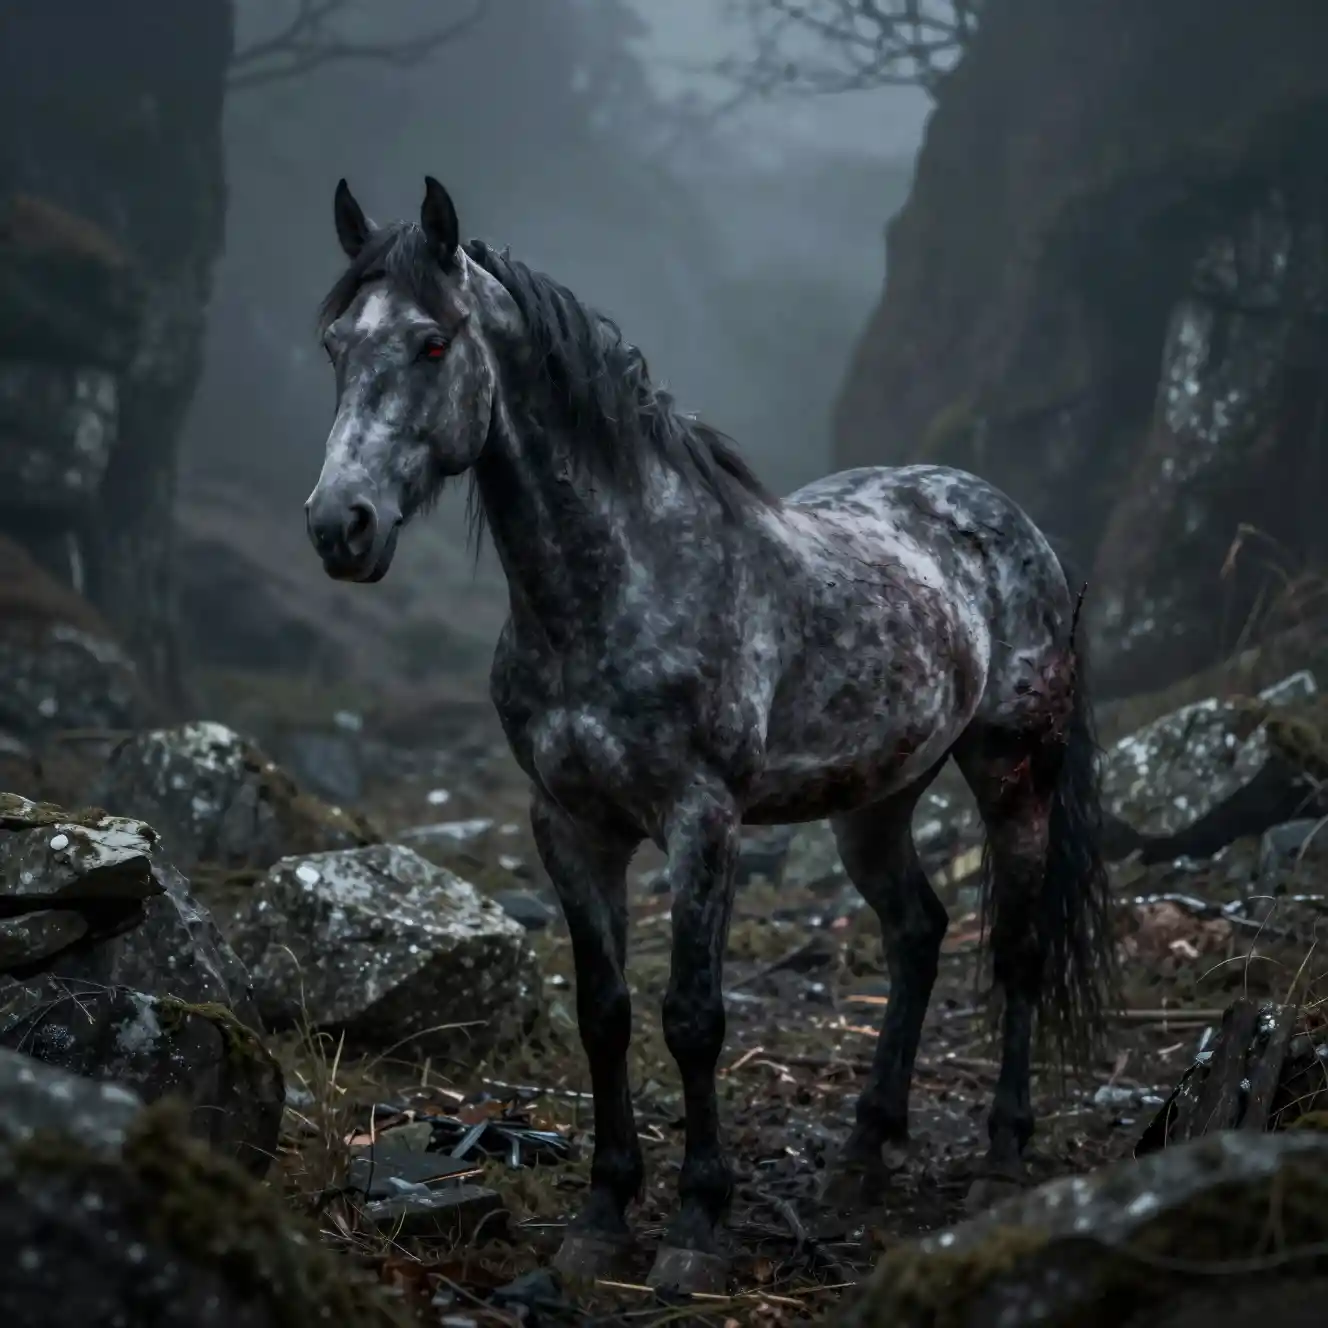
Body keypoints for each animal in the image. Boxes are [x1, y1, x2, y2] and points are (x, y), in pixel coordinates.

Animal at [304, 176, 1117, 1294]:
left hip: (1012, 772)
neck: (613, 587)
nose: (337, 525)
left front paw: (695, 1224)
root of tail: (1006, 519)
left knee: (1019, 950)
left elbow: (693, 1017)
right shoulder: (568, 825)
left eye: (432, 342)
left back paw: (1000, 1159)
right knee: (915, 931)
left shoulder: (702, 821)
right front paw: (601, 1215)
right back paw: (861, 1155)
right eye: (336, 344)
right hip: (876, 798)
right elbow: (603, 1012)